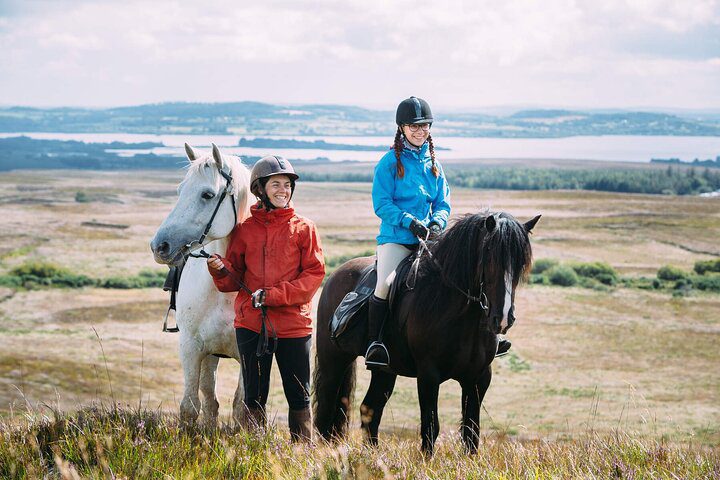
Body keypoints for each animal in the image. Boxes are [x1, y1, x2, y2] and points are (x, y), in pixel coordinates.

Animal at [149, 142, 250, 424]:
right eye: (180, 190)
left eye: (207, 194)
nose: (159, 246)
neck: (224, 289)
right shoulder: (191, 348)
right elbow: (190, 407)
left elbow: (241, 408)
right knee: (209, 399)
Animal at [312, 212, 536, 456]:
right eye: (490, 259)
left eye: (521, 263)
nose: (503, 319)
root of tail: (335, 276)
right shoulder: (428, 375)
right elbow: (430, 426)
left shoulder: (479, 377)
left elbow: (471, 432)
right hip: (334, 361)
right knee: (326, 408)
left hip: (385, 371)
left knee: (370, 409)